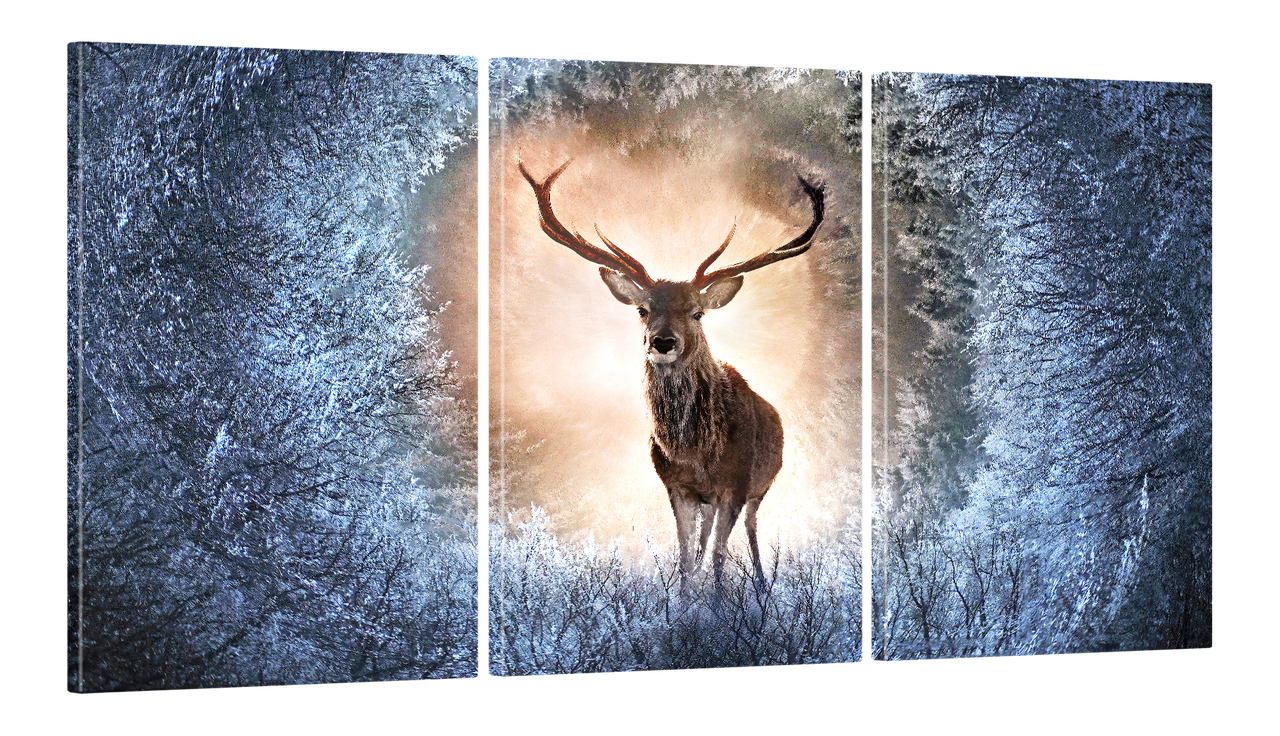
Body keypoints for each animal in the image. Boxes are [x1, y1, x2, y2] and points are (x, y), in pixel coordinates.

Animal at [519, 160, 824, 598]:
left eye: (697, 312)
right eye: (643, 310)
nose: (662, 342)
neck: (696, 453)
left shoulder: (735, 484)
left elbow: (718, 559)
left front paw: (720, 607)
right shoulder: (676, 487)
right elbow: (686, 559)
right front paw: (684, 604)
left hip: (762, 486)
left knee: (749, 530)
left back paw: (762, 584)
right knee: (705, 540)